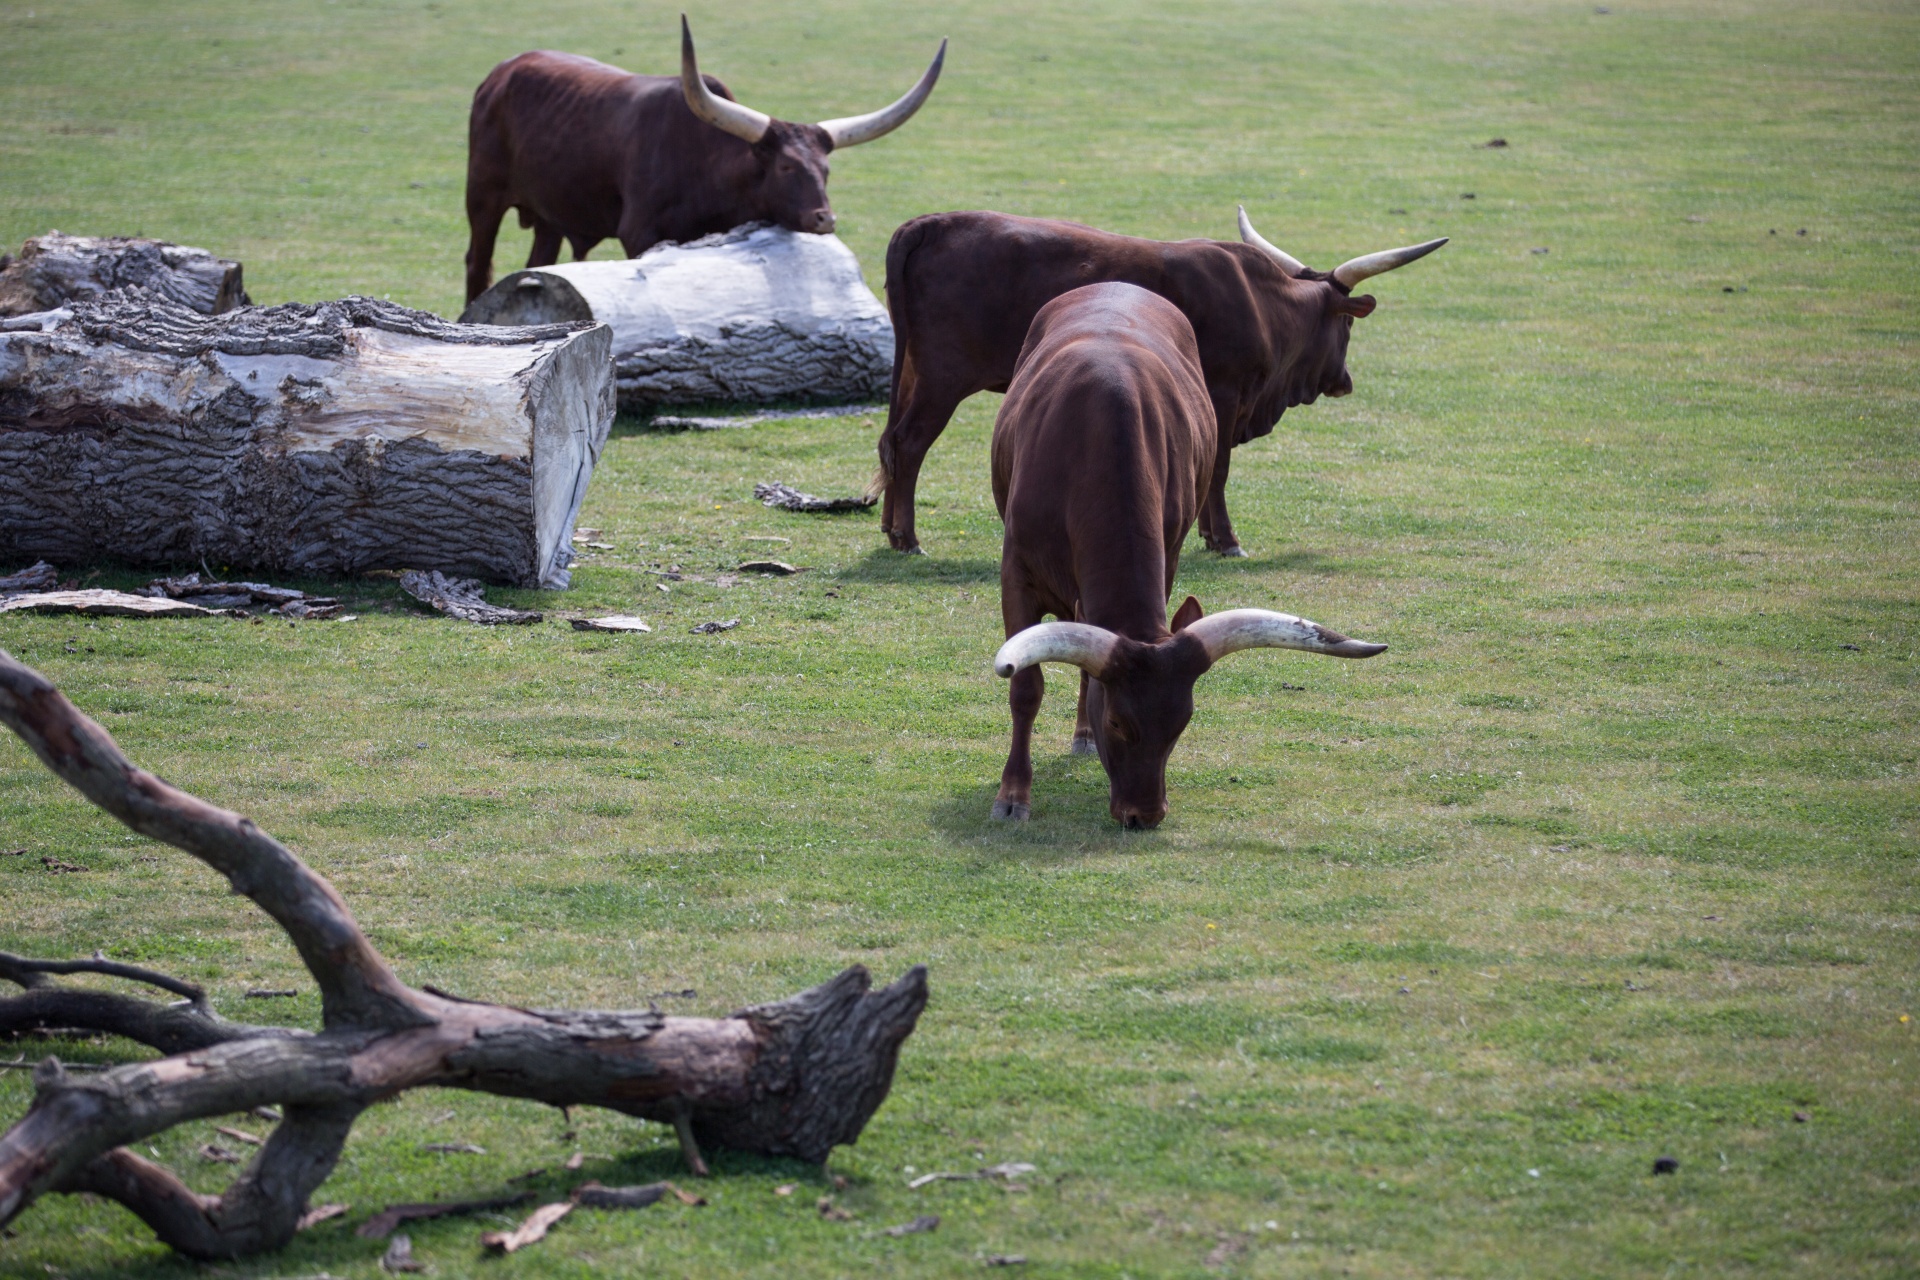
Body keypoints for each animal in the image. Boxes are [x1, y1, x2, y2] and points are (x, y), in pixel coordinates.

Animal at [464, 17, 944, 303]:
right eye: (786, 167)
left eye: (825, 169)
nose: (824, 219)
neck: (703, 166)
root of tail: (502, 71)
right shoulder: (640, 234)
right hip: (482, 196)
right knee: (477, 261)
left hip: (549, 212)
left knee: (537, 258)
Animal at [879, 205, 1443, 556]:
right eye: (1347, 324)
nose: (1344, 380)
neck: (1263, 304)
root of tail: (930, 223)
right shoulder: (1224, 395)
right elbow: (1219, 469)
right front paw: (1226, 539)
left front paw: (1211, 535)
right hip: (942, 379)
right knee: (909, 444)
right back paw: (908, 538)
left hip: (911, 373)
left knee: (889, 444)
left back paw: (888, 528)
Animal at [990, 282, 1382, 832]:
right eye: (1118, 721)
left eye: (1184, 721)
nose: (1145, 814)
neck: (1095, 437)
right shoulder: (1017, 577)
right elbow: (1026, 688)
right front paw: (1013, 796)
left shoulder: (1168, 556)